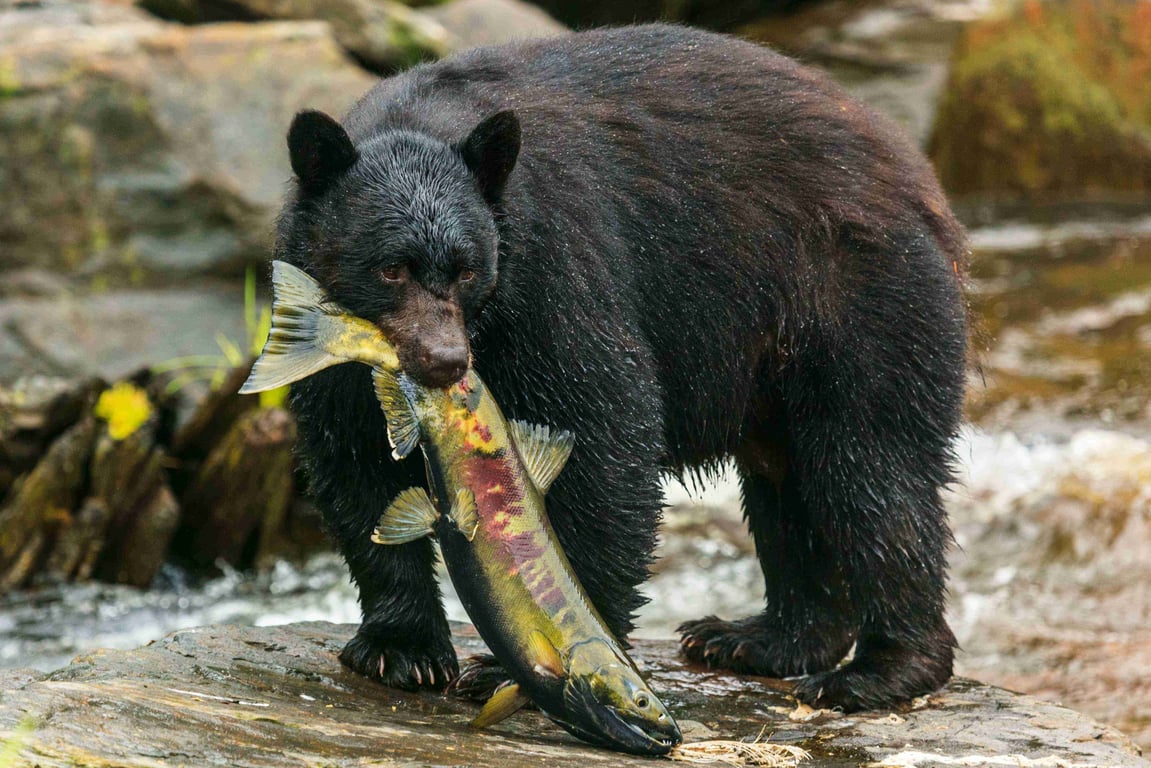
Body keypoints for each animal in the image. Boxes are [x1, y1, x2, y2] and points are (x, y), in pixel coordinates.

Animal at [276, 23, 969, 712]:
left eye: (468, 269)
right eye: (391, 268)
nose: (445, 361)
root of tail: (918, 175)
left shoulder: (553, 265)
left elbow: (603, 427)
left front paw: (543, 656)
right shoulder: (321, 321)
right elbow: (354, 458)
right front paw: (403, 649)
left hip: (857, 298)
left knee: (873, 469)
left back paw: (879, 669)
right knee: (787, 483)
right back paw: (760, 639)